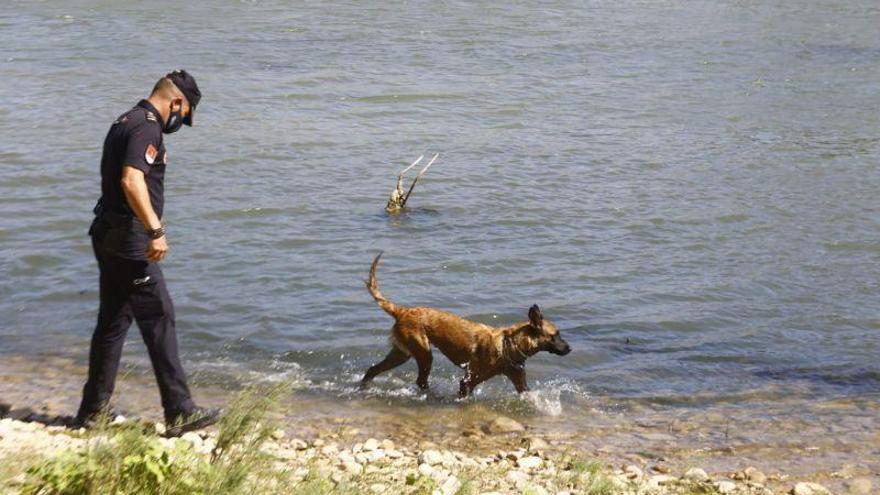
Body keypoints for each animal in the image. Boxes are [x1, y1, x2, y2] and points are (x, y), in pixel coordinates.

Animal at [362, 254, 576, 398]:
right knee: (420, 381)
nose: (569, 348)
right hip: (423, 353)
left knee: (372, 370)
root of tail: (403, 311)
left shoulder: (520, 383)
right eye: (555, 335)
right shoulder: (468, 381)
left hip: (402, 353)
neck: (509, 346)